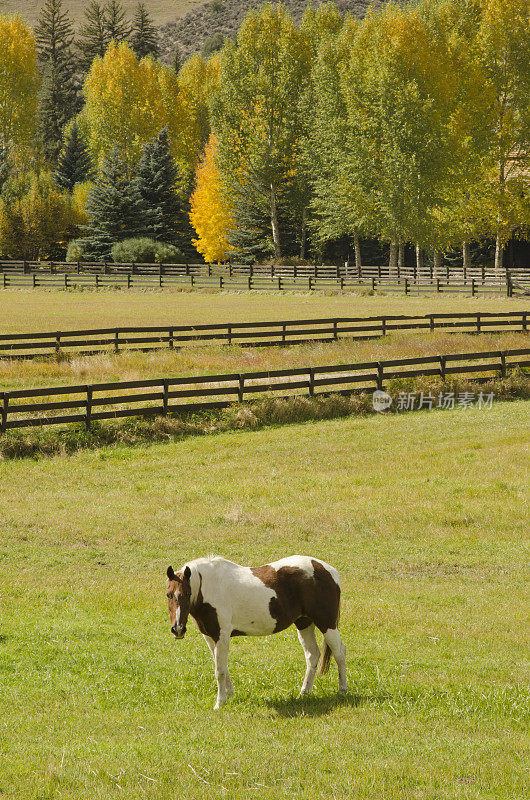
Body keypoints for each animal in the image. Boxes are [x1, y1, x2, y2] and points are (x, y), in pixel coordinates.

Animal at [165, 556, 346, 708]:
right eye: (168, 594)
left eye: (187, 594)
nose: (178, 629)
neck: (209, 587)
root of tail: (328, 570)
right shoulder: (210, 637)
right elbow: (222, 666)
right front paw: (229, 694)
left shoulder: (221, 636)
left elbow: (220, 670)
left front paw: (220, 702)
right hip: (304, 623)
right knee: (312, 655)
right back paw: (304, 693)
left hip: (327, 624)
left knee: (339, 652)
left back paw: (342, 690)